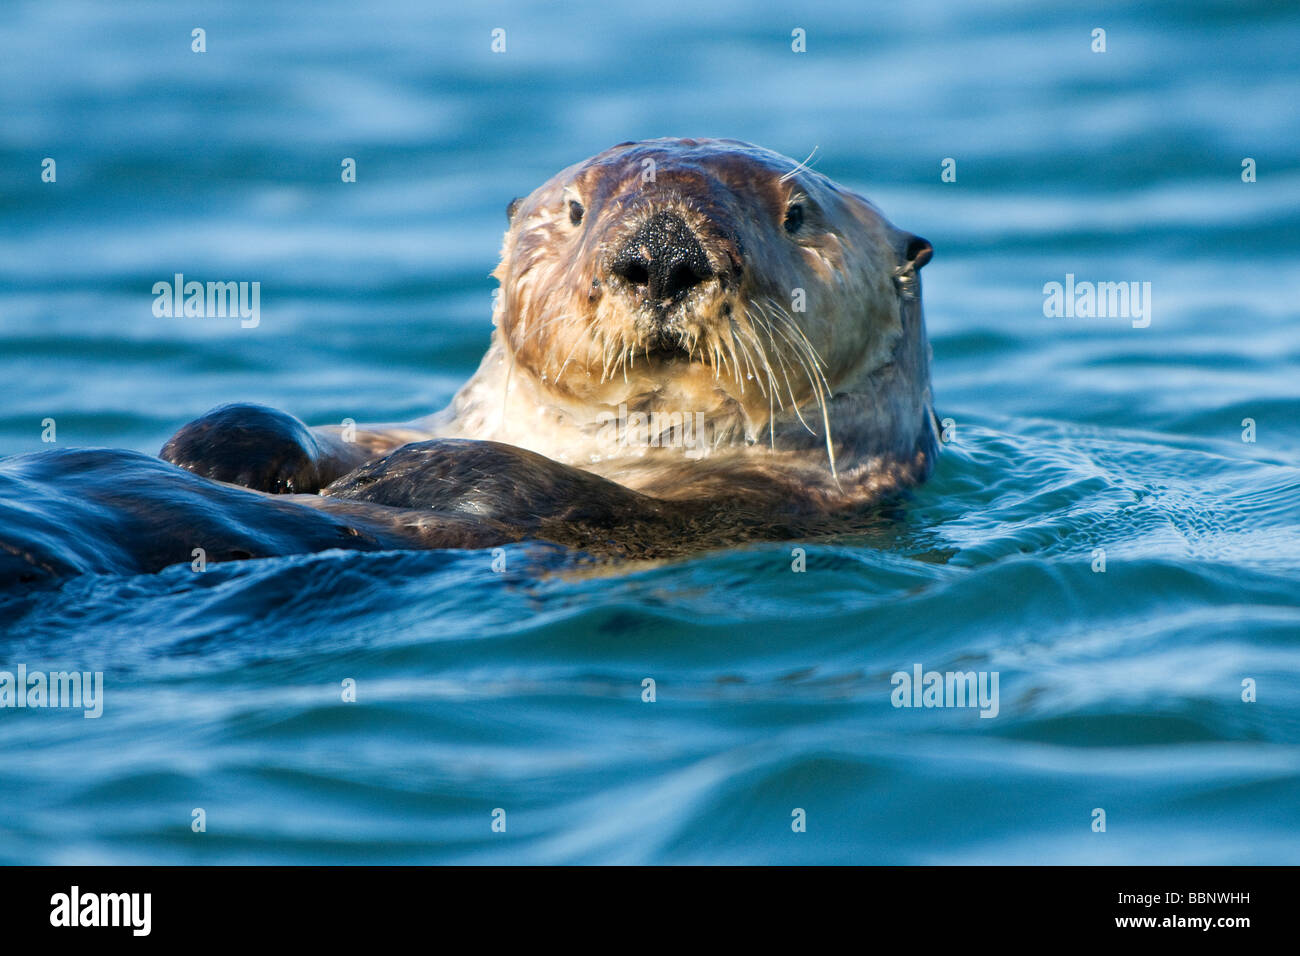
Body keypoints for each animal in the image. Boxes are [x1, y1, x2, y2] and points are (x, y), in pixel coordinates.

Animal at [158, 138, 937, 561]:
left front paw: (394, 479)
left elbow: (526, 481)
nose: (664, 254)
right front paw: (217, 451)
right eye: (574, 209)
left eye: (796, 214)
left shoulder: (750, 497)